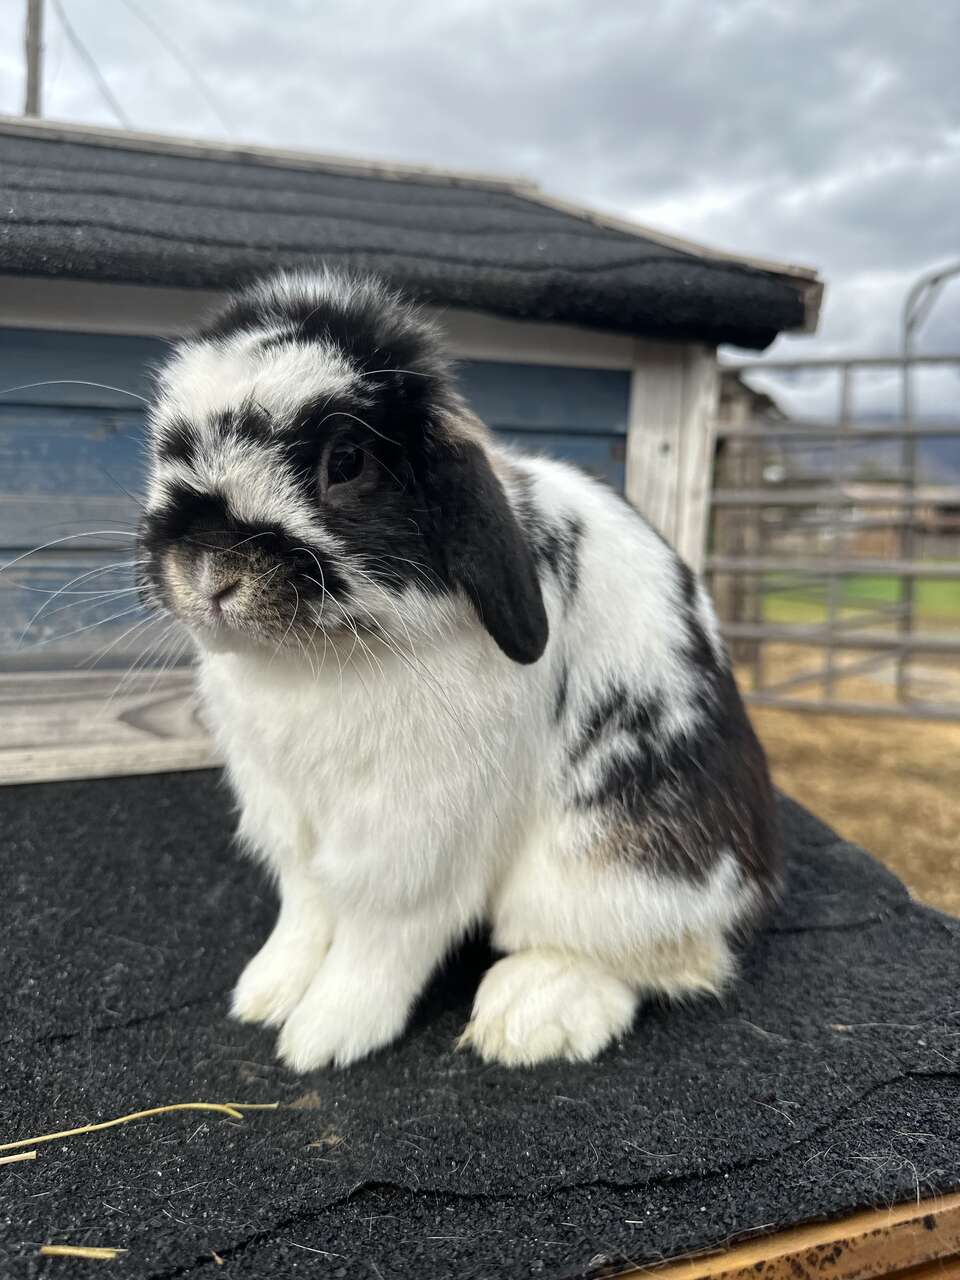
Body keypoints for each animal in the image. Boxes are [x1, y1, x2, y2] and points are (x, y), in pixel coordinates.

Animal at [138, 267, 783, 1070]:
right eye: (167, 446)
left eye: (345, 462)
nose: (209, 574)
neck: (314, 661)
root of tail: (750, 877)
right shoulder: (293, 823)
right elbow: (305, 910)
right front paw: (265, 992)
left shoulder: (416, 843)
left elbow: (380, 939)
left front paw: (324, 1034)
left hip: (604, 868)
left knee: (661, 959)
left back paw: (530, 1014)